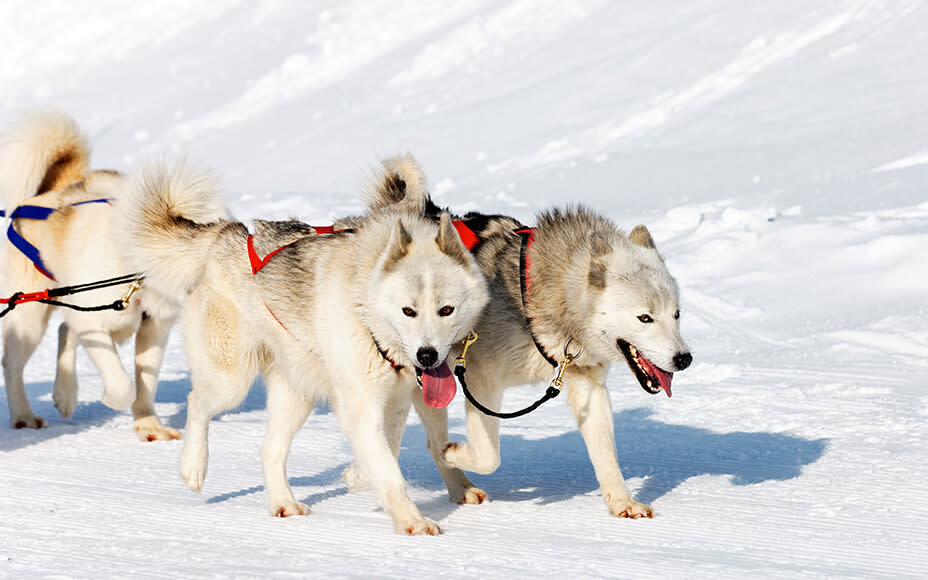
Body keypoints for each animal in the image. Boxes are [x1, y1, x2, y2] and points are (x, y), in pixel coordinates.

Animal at [0, 112, 225, 440]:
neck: (137, 277)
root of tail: (54, 190)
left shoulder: (154, 327)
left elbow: (146, 384)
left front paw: (148, 424)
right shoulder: (93, 322)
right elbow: (123, 385)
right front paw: (113, 399)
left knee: (65, 331)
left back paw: (65, 394)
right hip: (30, 313)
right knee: (14, 363)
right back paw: (24, 415)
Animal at [123, 163, 492, 536]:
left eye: (446, 310)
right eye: (408, 311)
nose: (427, 355)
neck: (364, 304)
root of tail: (229, 234)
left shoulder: (394, 403)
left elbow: (385, 453)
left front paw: (359, 476)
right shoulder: (361, 404)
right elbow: (388, 470)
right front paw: (411, 520)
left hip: (296, 397)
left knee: (269, 450)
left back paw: (283, 502)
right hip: (231, 382)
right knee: (196, 403)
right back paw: (193, 467)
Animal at [366, 156, 692, 520]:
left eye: (676, 314)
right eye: (645, 318)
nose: (684, 359)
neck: (538, 298)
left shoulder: (588, 386)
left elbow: (606, 454)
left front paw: (623, 502)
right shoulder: (480, 383)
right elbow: (488, 456)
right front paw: (453, 452)